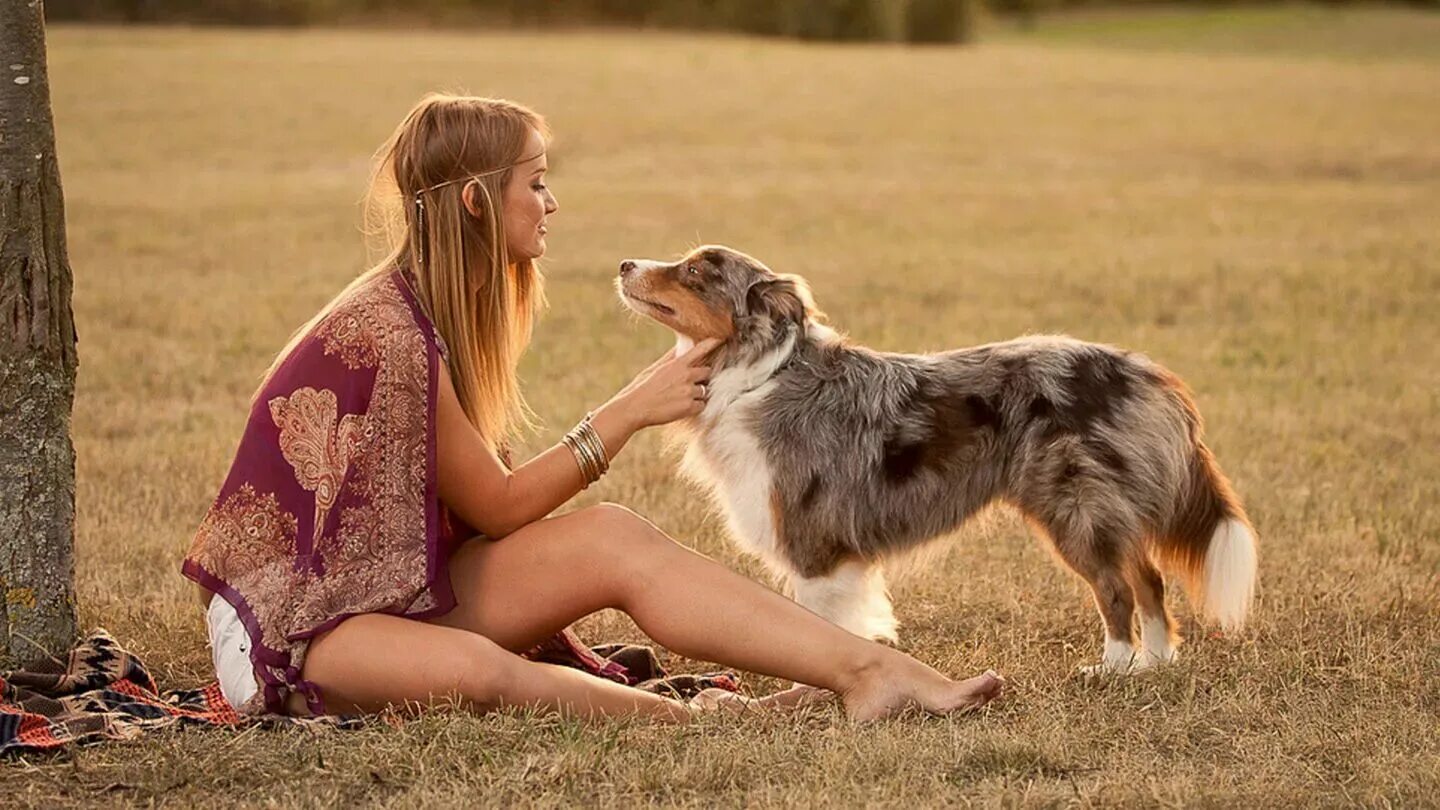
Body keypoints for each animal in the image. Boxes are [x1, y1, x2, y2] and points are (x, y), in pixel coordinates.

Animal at [619, 242, 1261, 671]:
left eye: (694, 271)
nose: (625, 264)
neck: (759, 373)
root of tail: (1150, 374)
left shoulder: (816, 542)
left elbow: (821, 627)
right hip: (1108, 508)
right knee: (1149, 578)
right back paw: (1154, 665)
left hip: (1075, 506)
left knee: (1117, 588)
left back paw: (1113, 668)